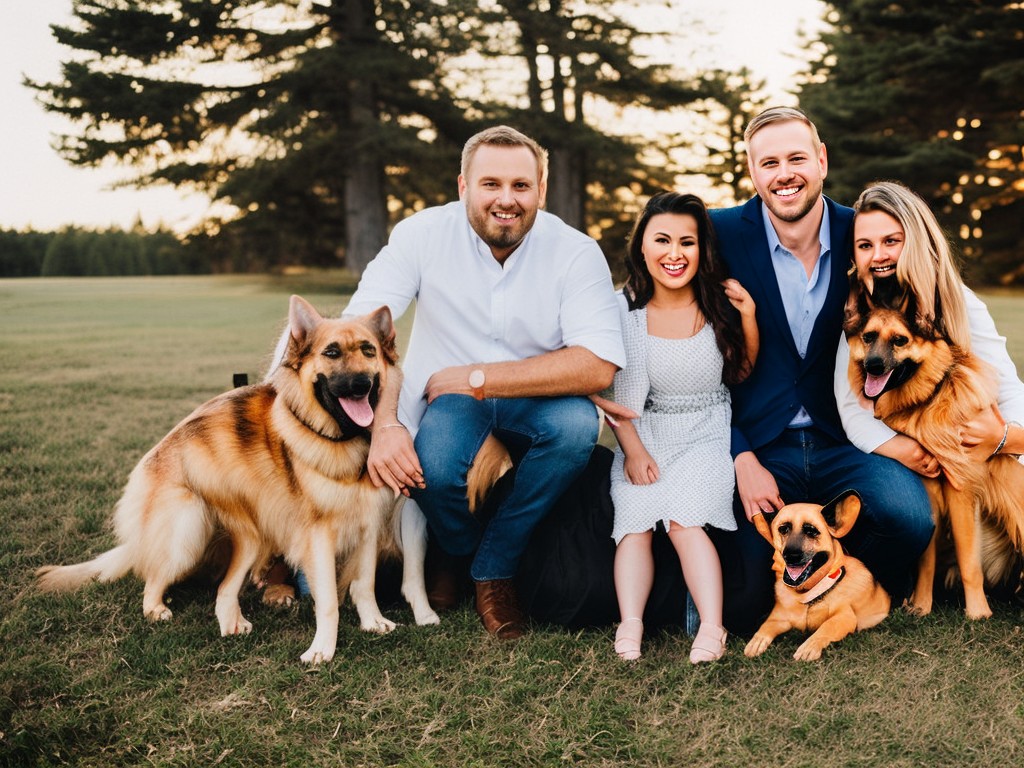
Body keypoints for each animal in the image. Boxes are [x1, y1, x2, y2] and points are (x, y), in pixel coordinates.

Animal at [741, 493, 892, 663]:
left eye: (811, 531)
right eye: (783, 529)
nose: (791, 556)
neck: (807, 595)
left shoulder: (845, 616)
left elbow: (826, 626)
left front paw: (809, 646)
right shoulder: (779, 617)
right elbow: (766, 625)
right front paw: (758, 640)